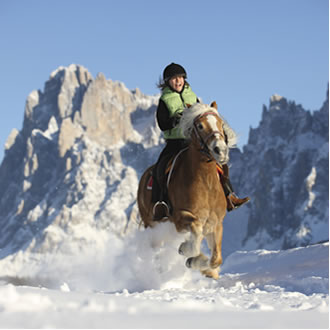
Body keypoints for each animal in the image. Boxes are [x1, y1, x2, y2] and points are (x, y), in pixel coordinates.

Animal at [137, 102, 237, 280]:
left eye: (220, 123)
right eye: (200, 126)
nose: (220, 150)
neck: (205, 184)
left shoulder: (216, 223)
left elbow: (216, 259)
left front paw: (205, 267)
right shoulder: (180, 217)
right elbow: (195, 232)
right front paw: (188, 252)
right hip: (152, 224)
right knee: (156, 248)